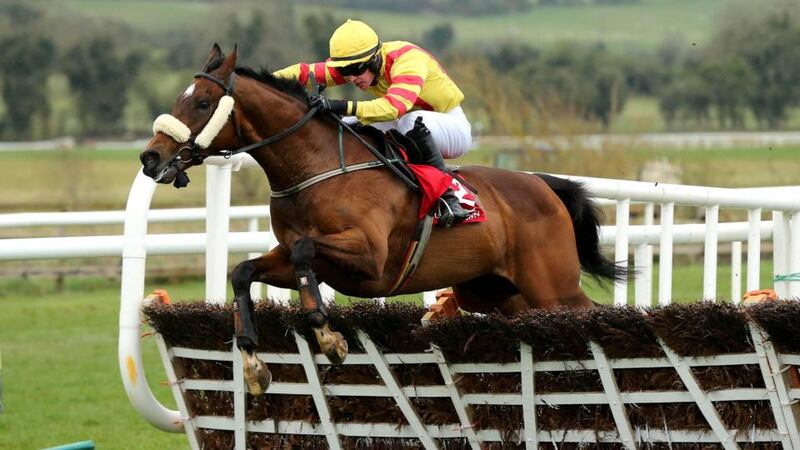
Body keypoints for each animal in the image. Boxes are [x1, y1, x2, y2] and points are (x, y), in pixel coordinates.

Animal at [139, 44, 624, 394]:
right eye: (180, 99)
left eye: (203, 103)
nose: (151, 158)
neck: (315, 167)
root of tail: (542, 184)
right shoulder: (295, 257)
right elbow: (245, 270)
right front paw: (254, 362)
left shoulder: (368, 257)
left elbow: (305, 251)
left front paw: (327, 336)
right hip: (497, 292)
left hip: (552, 286)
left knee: (588, 314)